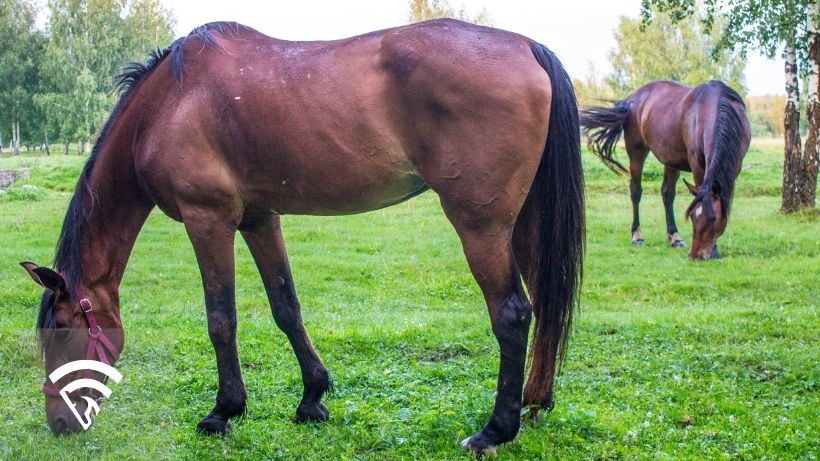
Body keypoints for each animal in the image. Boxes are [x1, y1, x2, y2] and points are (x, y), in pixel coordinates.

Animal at [20, 20, 584, 455]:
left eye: (62, 331)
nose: (60, 424)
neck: (168, 103)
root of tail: (527, 47)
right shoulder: (259, 219)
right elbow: (286, 307)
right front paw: (312, 398)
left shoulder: (209, 220)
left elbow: (221, 319)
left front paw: (223, 411)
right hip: (524, 224)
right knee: (546, 307)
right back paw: (534, 403)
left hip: (481, 227)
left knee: (512, 313)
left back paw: (494, 431)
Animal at [580, 80, 750, 259]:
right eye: (691, 216)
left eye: (713, 218)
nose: (695, 255)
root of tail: (630, 99)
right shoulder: (696, 164)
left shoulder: (735, 167)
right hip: (636, 151)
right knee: (636, 191)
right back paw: (637, 236)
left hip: (671, 160)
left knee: (667, 194)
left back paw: (674, 237)